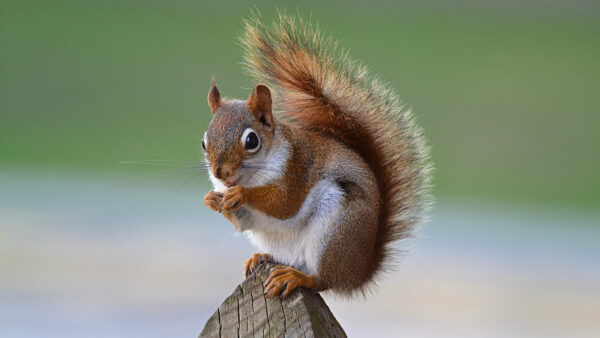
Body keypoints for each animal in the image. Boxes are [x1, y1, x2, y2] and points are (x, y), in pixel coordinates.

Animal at [202, 13, 432, 298]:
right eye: (203, 143)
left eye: (251, 140)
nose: (220, 173)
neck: (253, 176)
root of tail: (360, 273)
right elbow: (242, 223)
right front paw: (212, 199)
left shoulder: (298, 166)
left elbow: (284, 203)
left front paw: (241, 194)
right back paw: (261, 258)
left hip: (335, 233)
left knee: (323, 280)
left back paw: (297, 277)